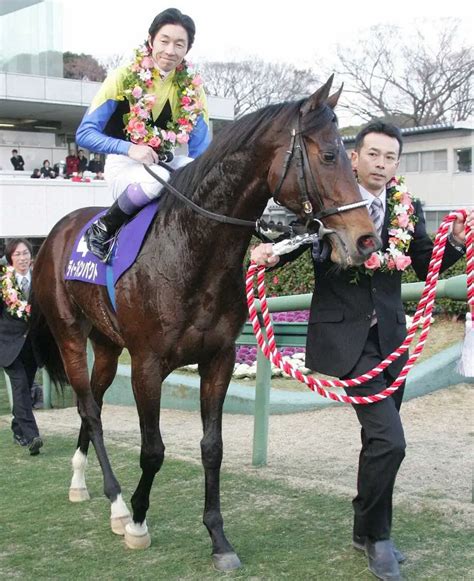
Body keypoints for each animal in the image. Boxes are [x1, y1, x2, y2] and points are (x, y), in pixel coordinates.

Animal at [30, 77, 378, 572]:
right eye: (330, 155)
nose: (365, 239)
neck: (190, 249)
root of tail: (54, 234)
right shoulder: (147, 365)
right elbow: (153, 450)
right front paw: (139, 521)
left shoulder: (219, 359)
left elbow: (212, 449)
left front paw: (218, 538)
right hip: (71, 336)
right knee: (90, 410)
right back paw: (116, 502)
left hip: (108, 344)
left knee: (90, 402)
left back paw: (83, 482)